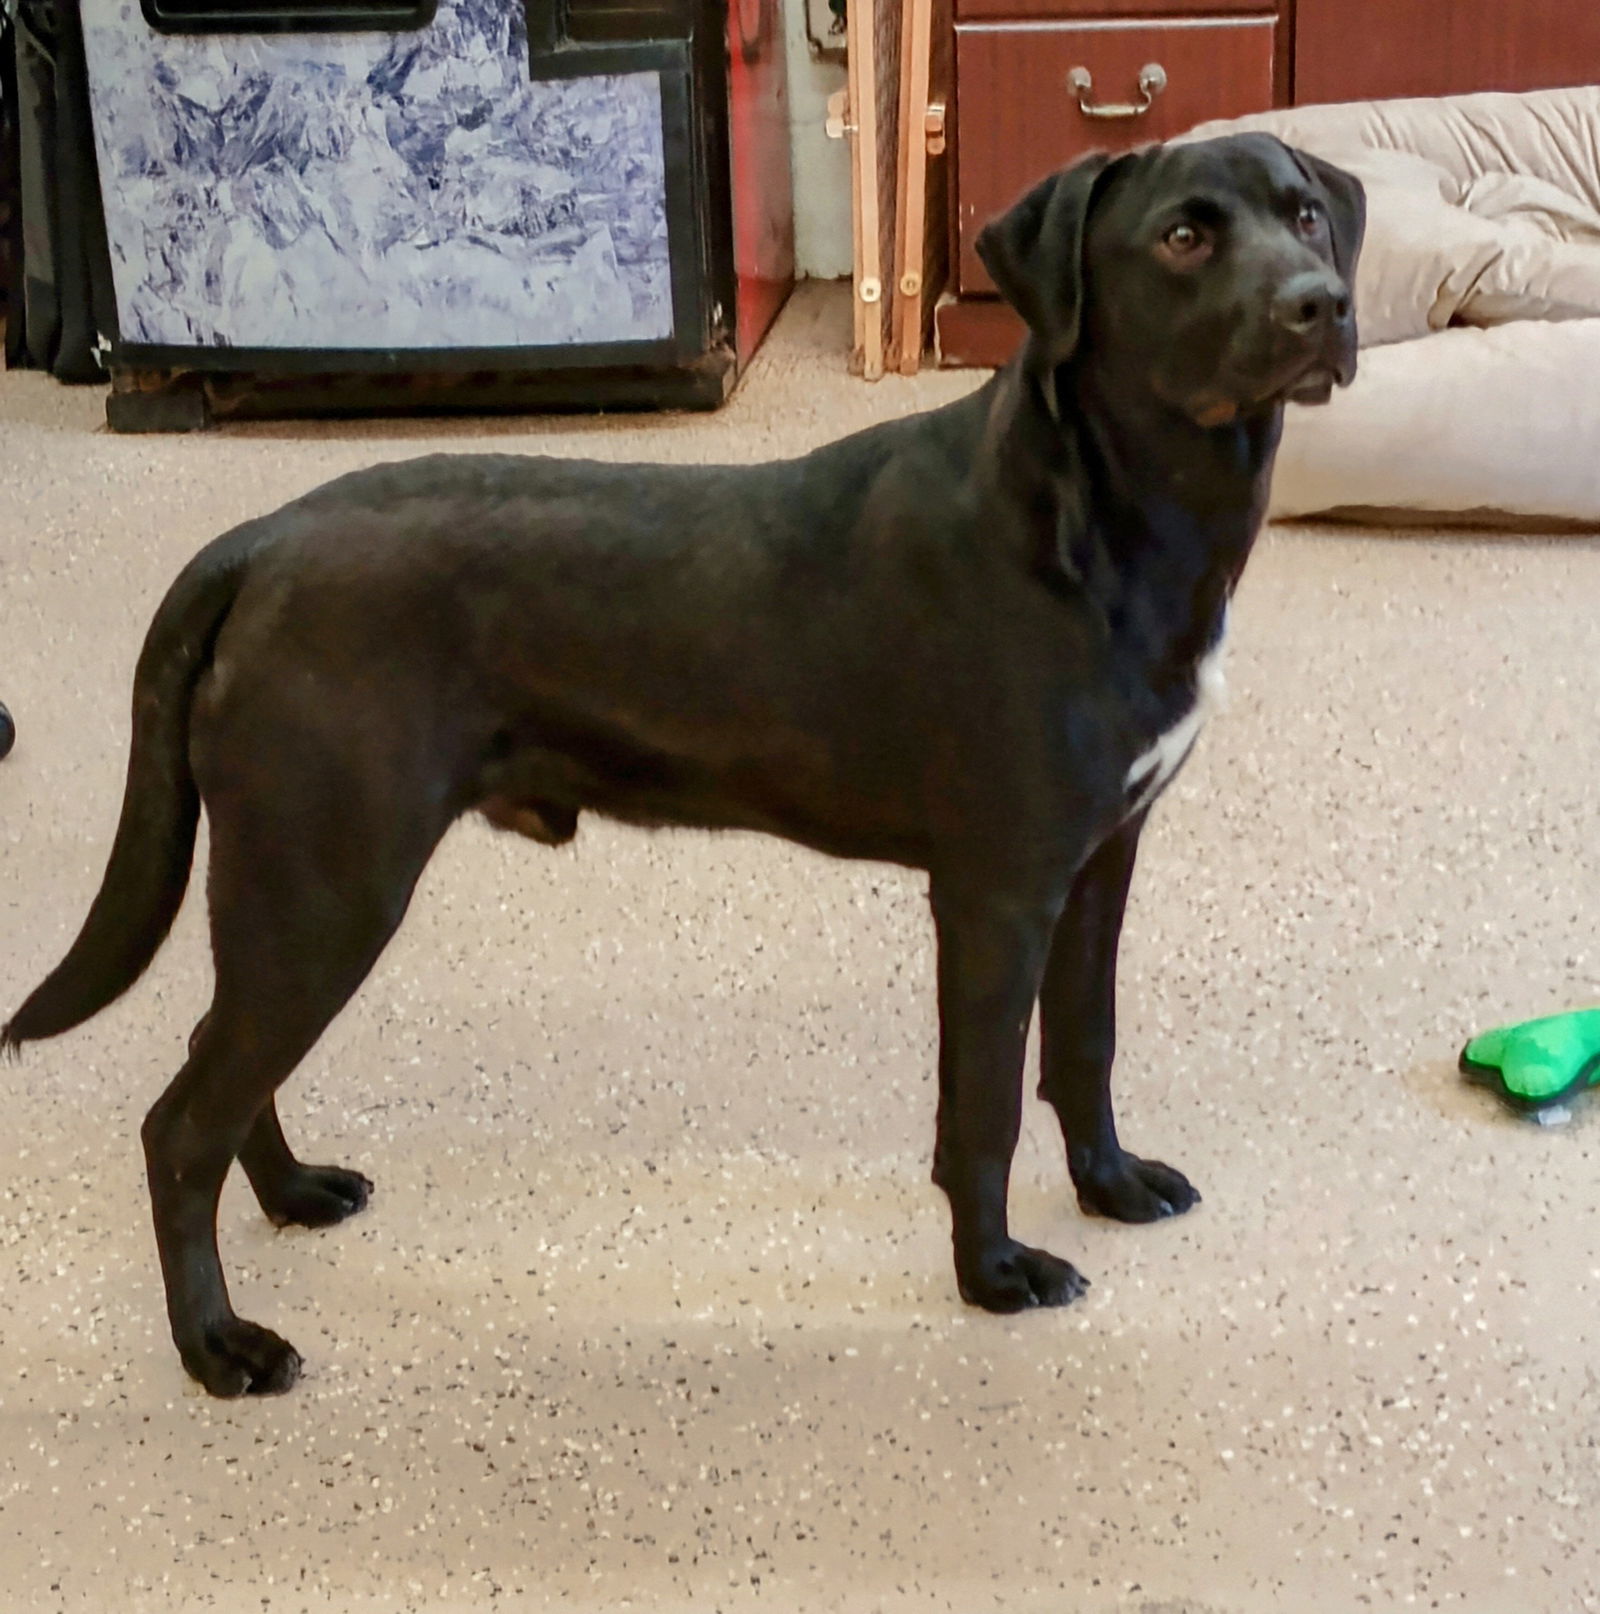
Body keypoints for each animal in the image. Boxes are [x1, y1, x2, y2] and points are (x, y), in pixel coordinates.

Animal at [6, 135, 1369, 1400]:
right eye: (1182, 238)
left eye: (1305, 214)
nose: (1321, 304)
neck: (1110, 516)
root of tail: (257, 540)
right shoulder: (998, 890)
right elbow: (979, 1107)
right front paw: (993, 1274)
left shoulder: (1099, 861)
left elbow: (1084, 1048)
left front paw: (1110, 1184)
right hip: (327, 884)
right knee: (181, 1122)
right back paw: (217, 1345)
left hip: (295, 896)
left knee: (218, 1062)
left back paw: (292, 1193)